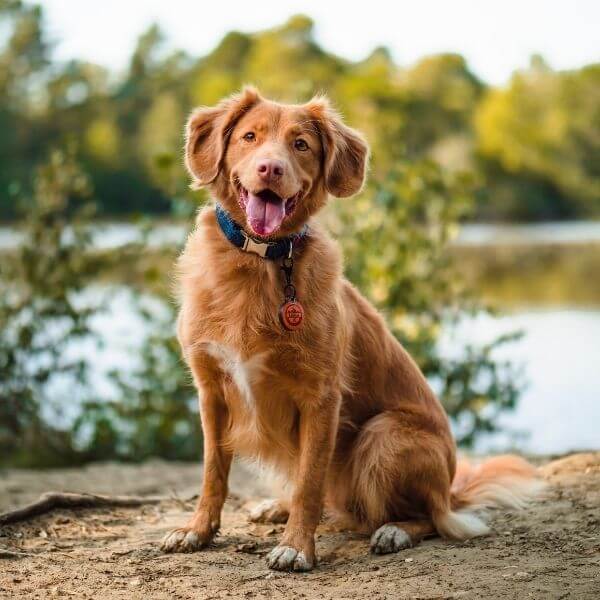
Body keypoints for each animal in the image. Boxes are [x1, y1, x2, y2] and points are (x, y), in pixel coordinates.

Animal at [161, 88, 544, 572]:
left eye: (301, 144)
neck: (261, 261)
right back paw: (277, 507)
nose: (271, 168)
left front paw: (296, 547)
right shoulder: (211, 390)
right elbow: (213, 471)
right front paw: (197, 530)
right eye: (250, 137)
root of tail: (451, 488)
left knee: (431, 518)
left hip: (383, 436)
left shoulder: (321, 397)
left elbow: (309, 481)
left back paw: (394, 531)